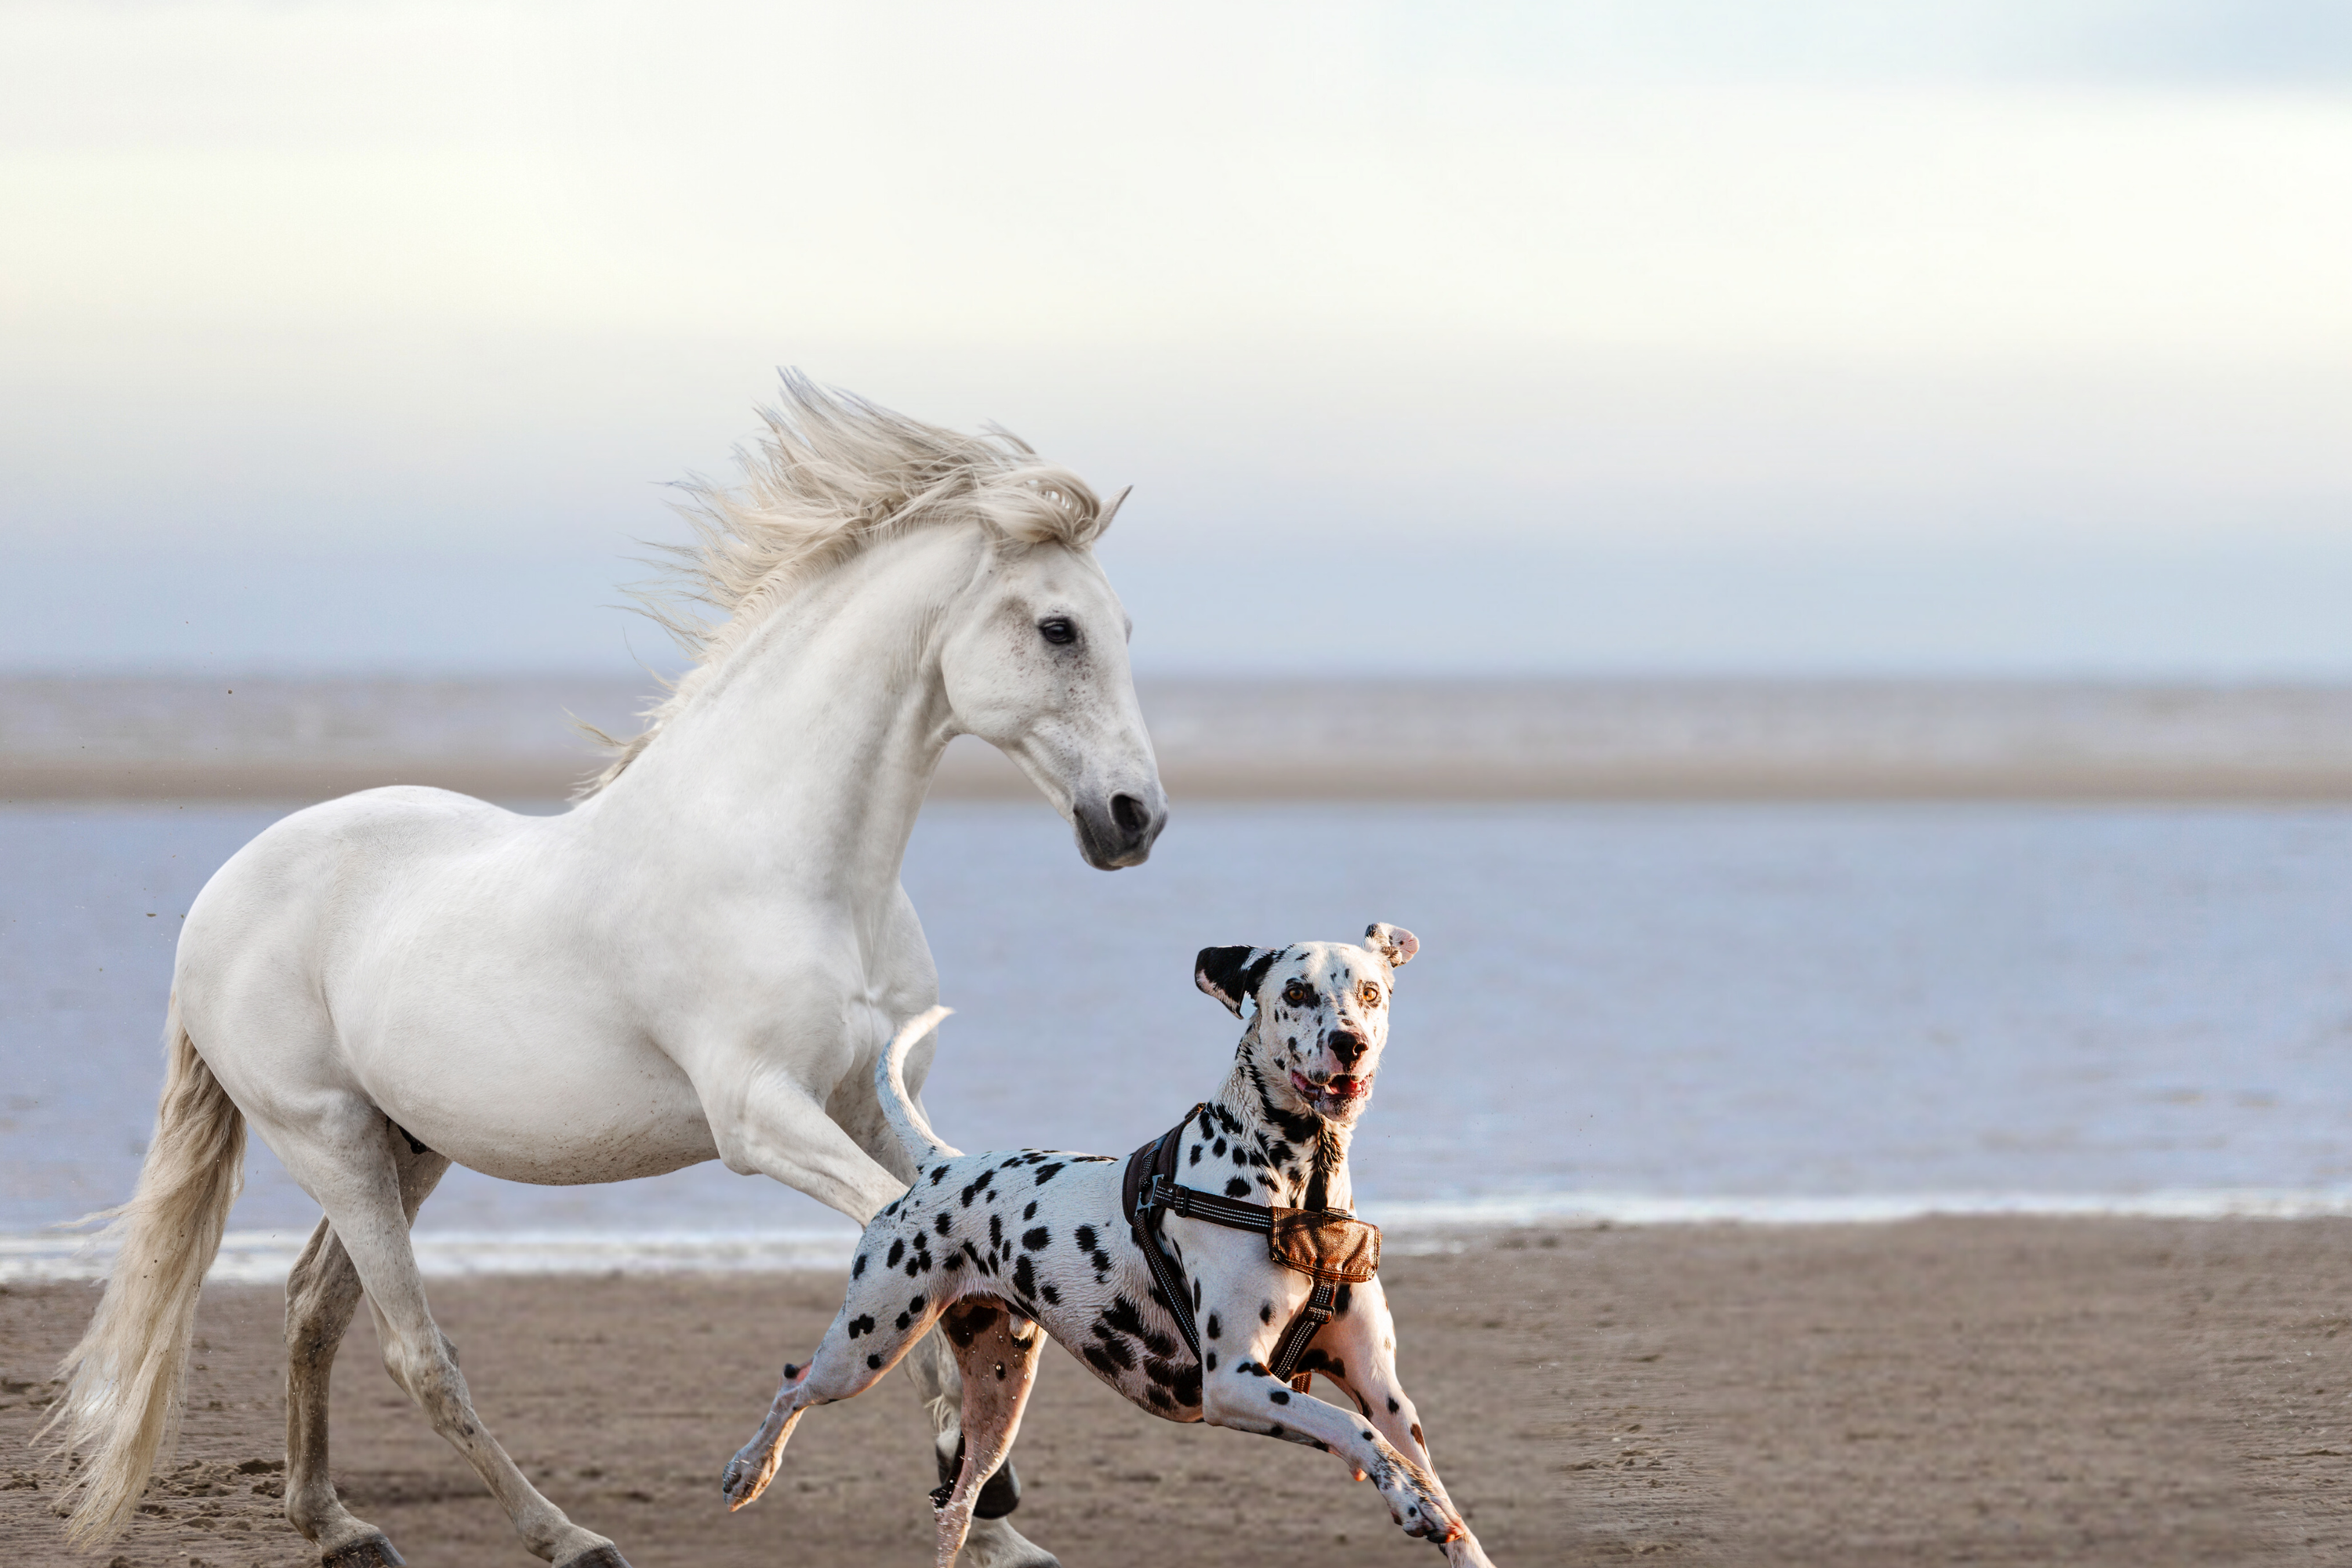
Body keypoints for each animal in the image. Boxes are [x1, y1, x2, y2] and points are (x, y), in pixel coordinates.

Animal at [41, 380, 1162, 1568]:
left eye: (1122, 629)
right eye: (1058, 627)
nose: (1135, 818)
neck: (792, 867)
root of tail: (219, 895)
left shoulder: (872, 1104)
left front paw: (990, 1520)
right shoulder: (760, 1119)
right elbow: (917, 1268)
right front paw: (980, 1490)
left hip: (409, 1144)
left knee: (311, 1308)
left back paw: (335, 1525)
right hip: (329, 1140)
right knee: (415, 1353)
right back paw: (565, 1535)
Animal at [710, 926, 1505, 1561]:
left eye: (1371, 992)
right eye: (1297, 991)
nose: (1350, 1043)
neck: (1298, 1189)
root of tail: (942, 1164)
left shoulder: (1384, 1390)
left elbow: (1425, 1477)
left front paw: (1436, 1515)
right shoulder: (1236, 1382)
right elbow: (1352, 1429)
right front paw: (1407, 1498)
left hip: (995, 1407)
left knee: (957, 1509)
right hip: (865, 1347)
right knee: (793, 1386)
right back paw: (749, 1471)